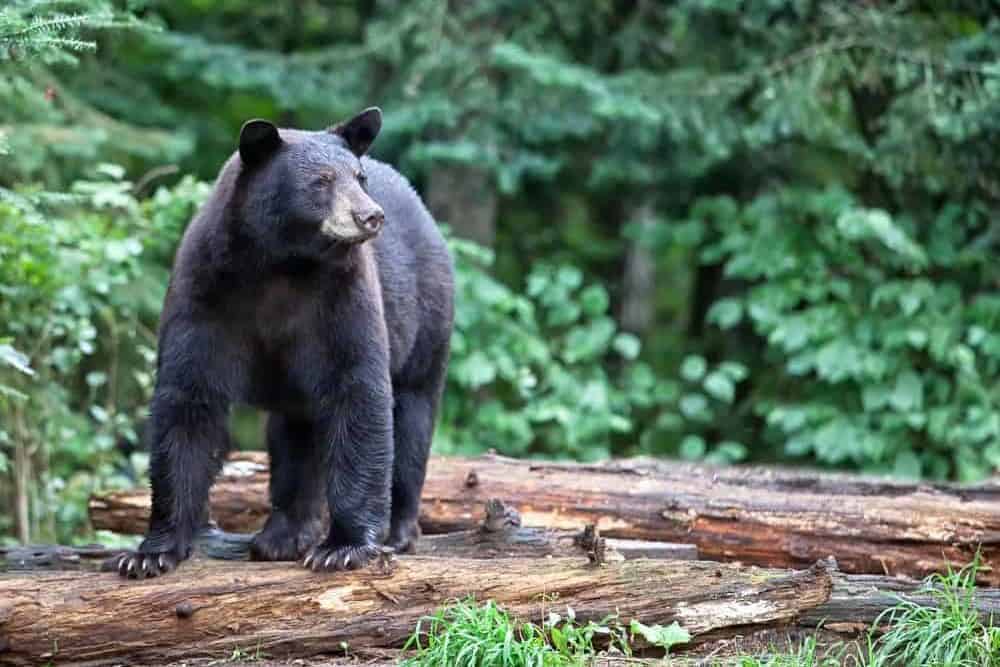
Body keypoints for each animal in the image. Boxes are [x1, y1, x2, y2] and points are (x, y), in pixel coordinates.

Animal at [118, 107, 458, 576]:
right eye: (321, 181)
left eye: (359, 177)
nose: (370, 216)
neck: (283, 265)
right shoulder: (205, 293)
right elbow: (187, 399)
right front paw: (150, 552)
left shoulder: (342, 299)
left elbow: (357, 392)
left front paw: (344, 547)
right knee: (294, 437)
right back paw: (282, 535)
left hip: (426, 321)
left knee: (412, 417)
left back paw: (397, 530)